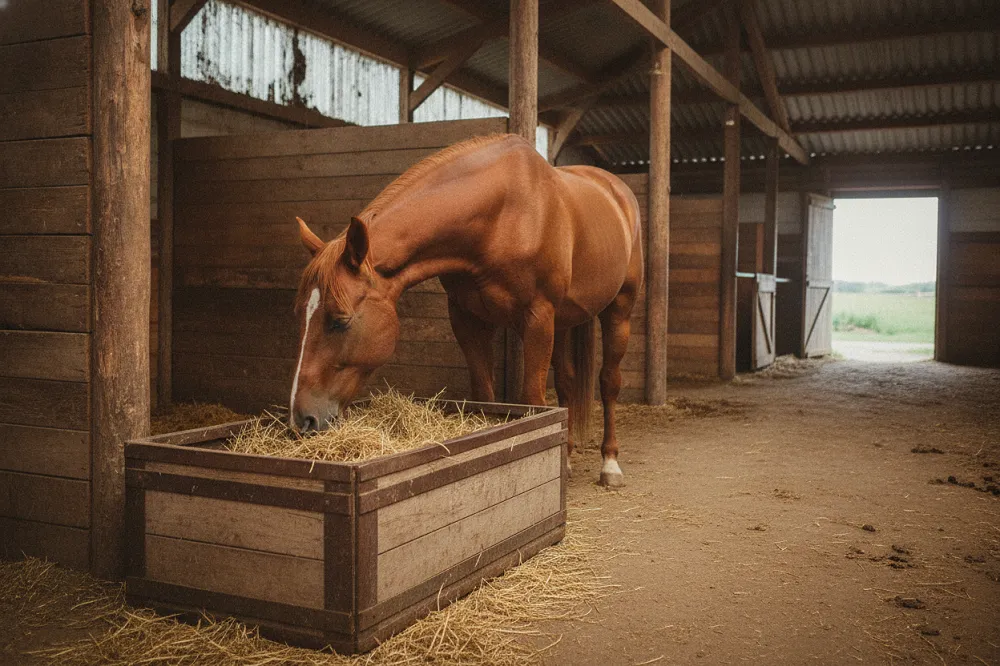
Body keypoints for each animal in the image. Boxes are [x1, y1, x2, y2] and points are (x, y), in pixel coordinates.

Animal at [289, 133, 642, 486]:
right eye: (300, 315)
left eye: (340, 321)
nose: (302, 420)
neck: (503, 219)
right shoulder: (467, 320)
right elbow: (484, 397)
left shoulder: (538, 318)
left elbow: (533, 400)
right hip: (564, 321)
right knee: (568, 382)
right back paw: (565, 459)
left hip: (619, 309)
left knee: (609, 382)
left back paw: (610, 464)